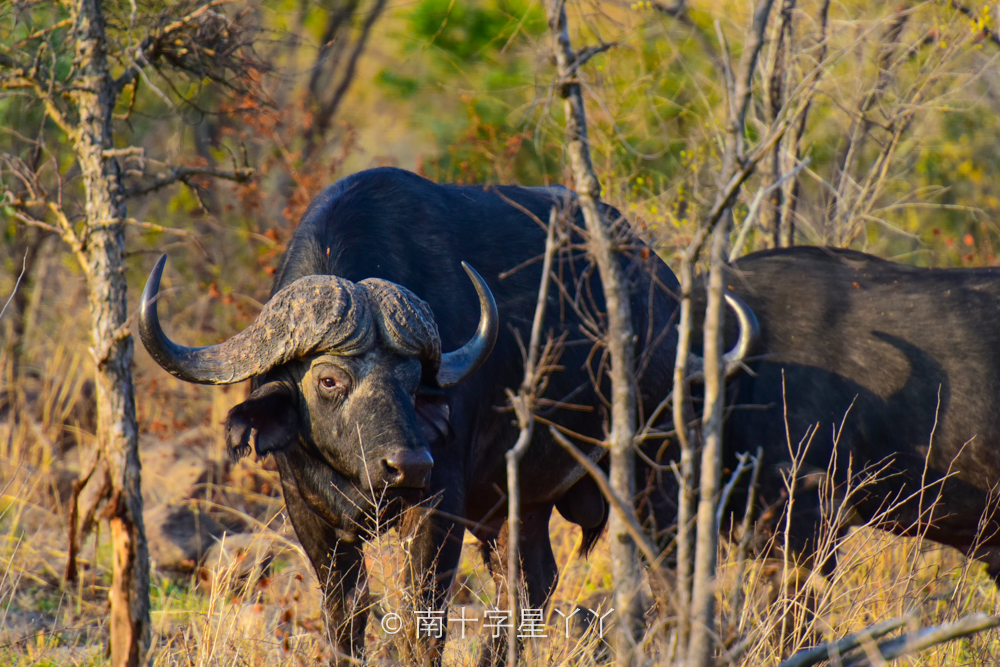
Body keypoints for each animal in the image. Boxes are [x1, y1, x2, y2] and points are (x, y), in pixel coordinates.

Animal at [137, 168, 752, 664]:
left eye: (414, 382)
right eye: (329, 379)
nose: (407, 465)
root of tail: (667, 294)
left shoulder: (439, 508)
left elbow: (421, 621)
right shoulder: (308, 512)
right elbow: (345, 618)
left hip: (658, 467)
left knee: (672, 572)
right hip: (517, 502)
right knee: (529, 583)